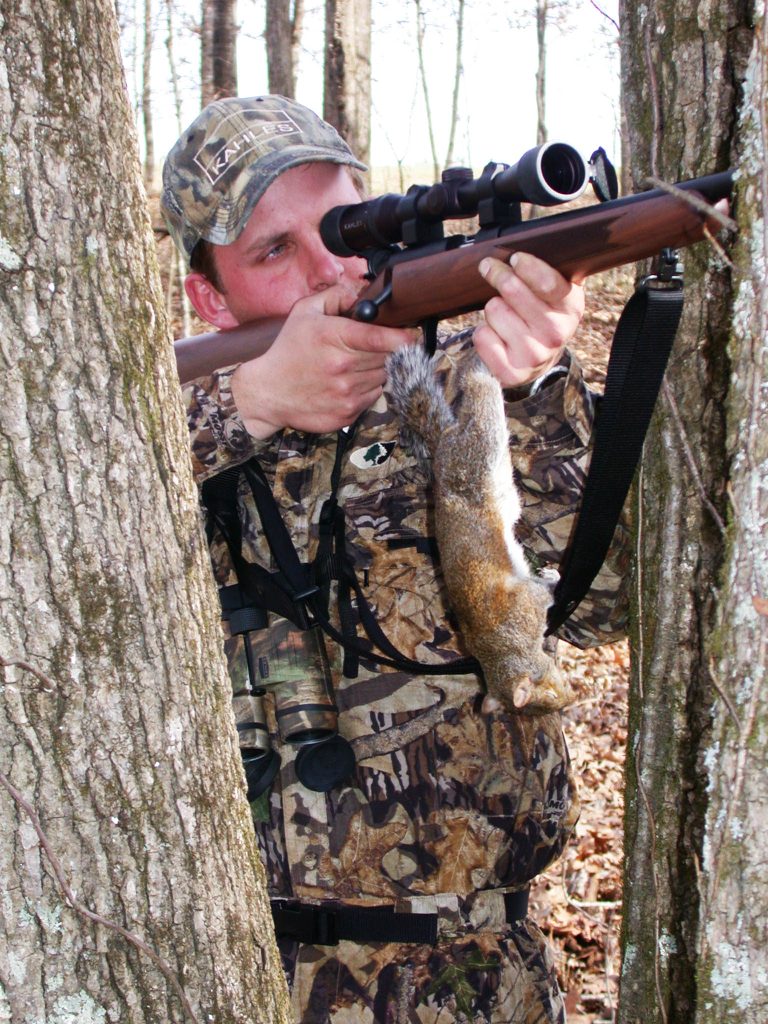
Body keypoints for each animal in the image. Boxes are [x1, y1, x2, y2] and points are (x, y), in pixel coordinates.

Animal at [386, 344, 575, 715]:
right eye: (548, 700)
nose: (571, 699)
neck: (503, 649)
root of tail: (443, 448)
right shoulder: (527, 607)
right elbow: (543, 593)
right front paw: (553, 578)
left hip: (480, 446)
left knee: (479, 391)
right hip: (483, 445)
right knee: (481, 390)